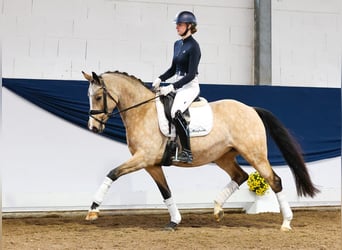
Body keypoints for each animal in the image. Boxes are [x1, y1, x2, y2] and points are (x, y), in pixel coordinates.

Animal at [81, 70, 320, 230]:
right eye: (89, 96)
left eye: (99, 97)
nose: (93, 127)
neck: (143, 111)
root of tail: (251, 109)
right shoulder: (152, 164)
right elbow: (166, 192)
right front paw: (174, 221)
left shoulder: (143, 158)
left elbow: (112, 173)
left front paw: (93, 210)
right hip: (224, 156)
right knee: (240, 175)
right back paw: (217, 209)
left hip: (255, 154)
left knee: (274, 180)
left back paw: (286, 223)